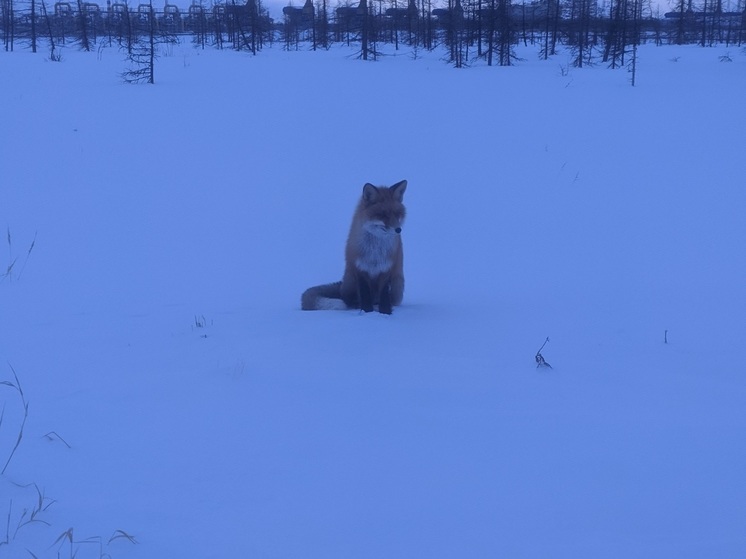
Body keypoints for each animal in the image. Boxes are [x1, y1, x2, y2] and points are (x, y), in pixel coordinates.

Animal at [300, 182, 406, 318]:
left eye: (398, 214)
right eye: (383, 215)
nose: (398, 230)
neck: (375, 253)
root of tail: (342, 285)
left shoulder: (387, 270)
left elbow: (384, 296)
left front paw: (385, 313)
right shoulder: (359, 269)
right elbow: (365, 294)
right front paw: (367, 312)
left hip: (398, 285)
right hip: (350, 281)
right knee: (349, 300)